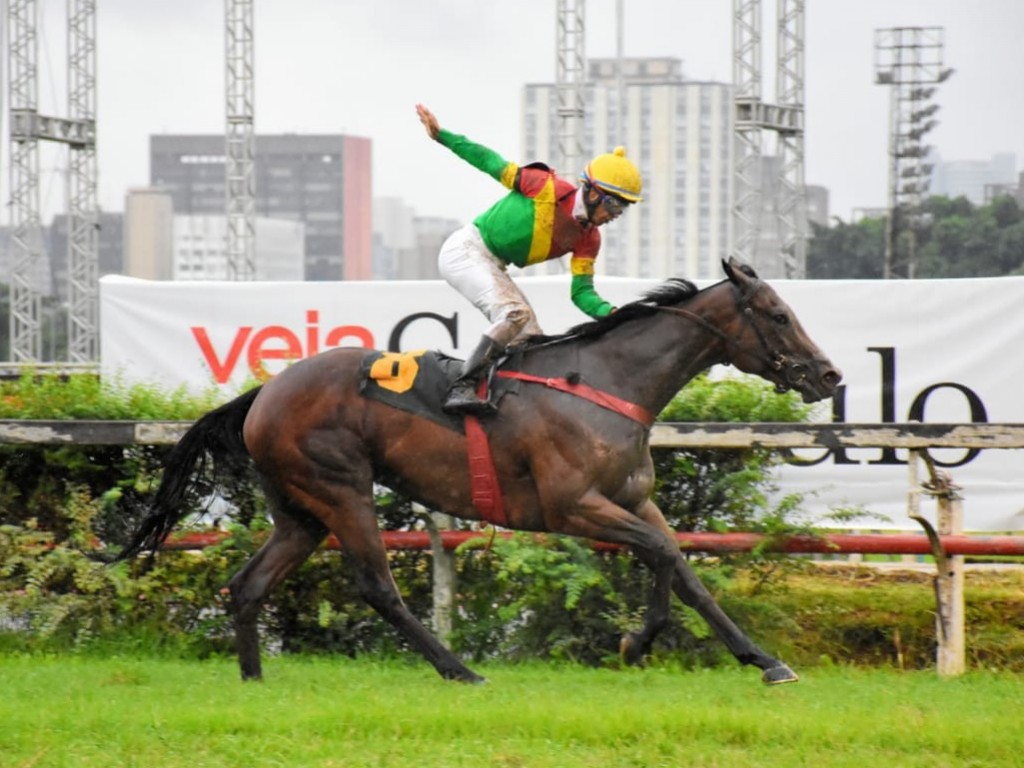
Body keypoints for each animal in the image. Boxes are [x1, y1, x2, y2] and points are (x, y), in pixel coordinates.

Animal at [119, 259, 839, 684]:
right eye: (780, 315)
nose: (829, 374)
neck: (607, 383)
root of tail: (264, 393)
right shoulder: (572, 505)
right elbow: (663, 557)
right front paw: (637, 643)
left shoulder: (634, 501)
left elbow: (687, 571)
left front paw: (764, 660)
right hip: (342, 490)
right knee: (376, 586)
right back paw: (459, 669)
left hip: (300, 512)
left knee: (248, 585)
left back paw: (254, 680)